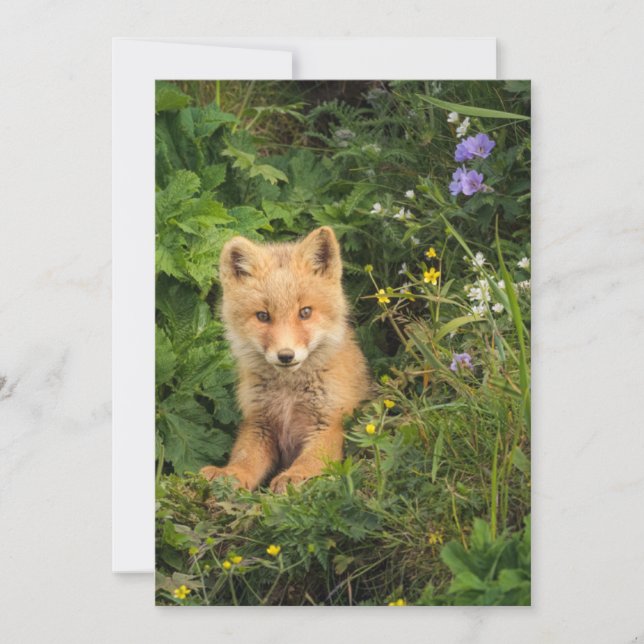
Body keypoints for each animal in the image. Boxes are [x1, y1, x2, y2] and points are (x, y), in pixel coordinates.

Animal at [200, 226, 370, 493]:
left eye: (305, 312)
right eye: (263, 316)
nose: (286, 355)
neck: (289, 394)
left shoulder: (329, 424)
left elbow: (310, 460)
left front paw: (295, 476)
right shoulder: (259, 424)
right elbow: (245, 459)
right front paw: (229, 474)